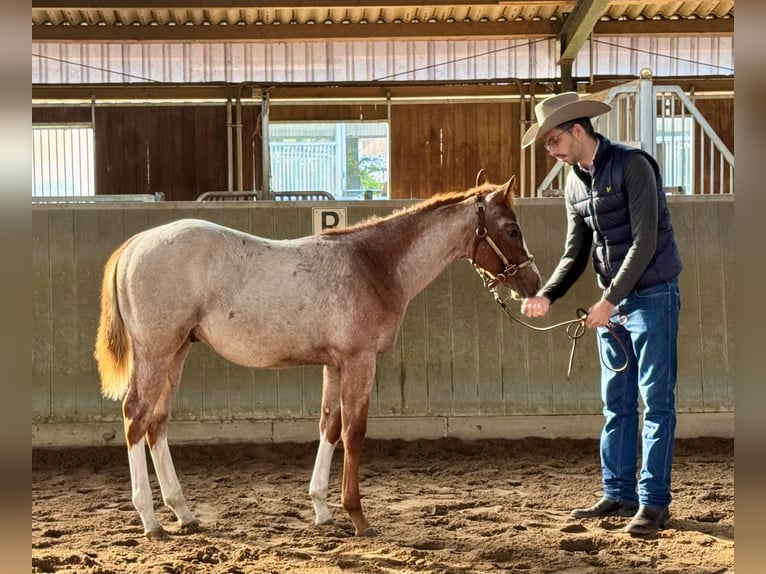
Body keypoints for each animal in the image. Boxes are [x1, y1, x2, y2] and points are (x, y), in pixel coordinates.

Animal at [94, 177, 542, 540]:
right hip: (156, 353)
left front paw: (322, 510)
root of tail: (135, 245)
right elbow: (354, 432)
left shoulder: (334, 365)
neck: (373, 265)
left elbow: (330, 426)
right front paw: (358, 518)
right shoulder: (360, 361)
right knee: (136, 417)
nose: (532, 283)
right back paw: (150, 521)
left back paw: (183, 513)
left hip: (177, 352)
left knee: (157, 423)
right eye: (512, 229)